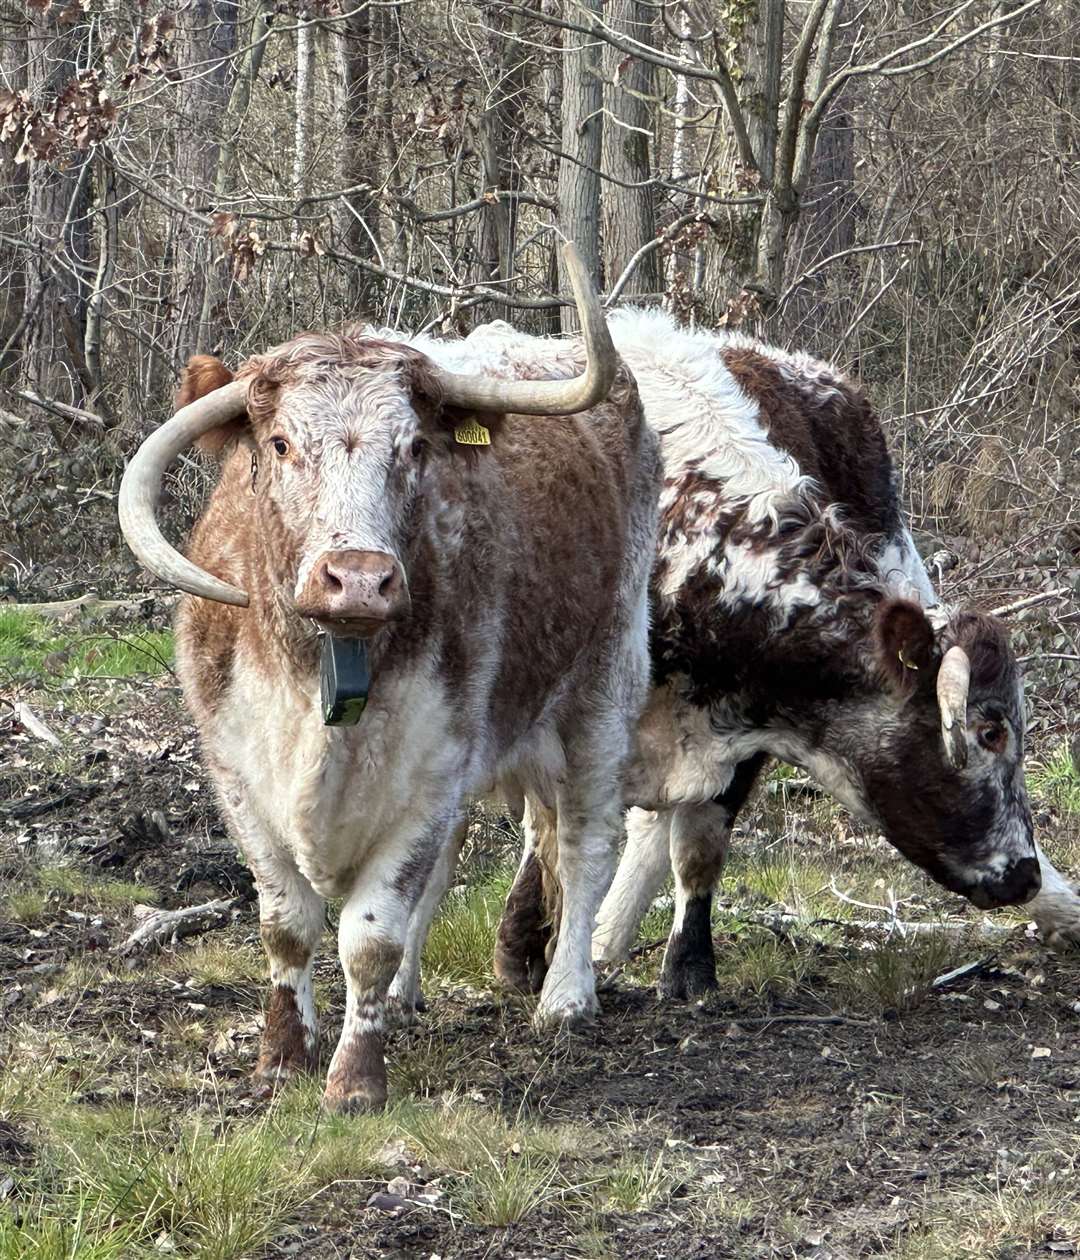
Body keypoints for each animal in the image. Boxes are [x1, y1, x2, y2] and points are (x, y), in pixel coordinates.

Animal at [115, 248, 655, 1113]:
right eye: (279, 444)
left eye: (416, 449)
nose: (360, 580)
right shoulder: (238, 772)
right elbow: (287, 922)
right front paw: (281, 1057)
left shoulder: (431, 772)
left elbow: (370, 933)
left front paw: (354, 1080)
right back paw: (406, 999)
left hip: (606, 683)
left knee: (585, 840)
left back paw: (566, 996)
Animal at [395, 307, 1078, 1002]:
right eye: (990, 732)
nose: (1022, 873)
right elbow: (549, 828)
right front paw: (527, 954)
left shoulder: (749, 719)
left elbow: (698, 846)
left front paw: (688, 967)